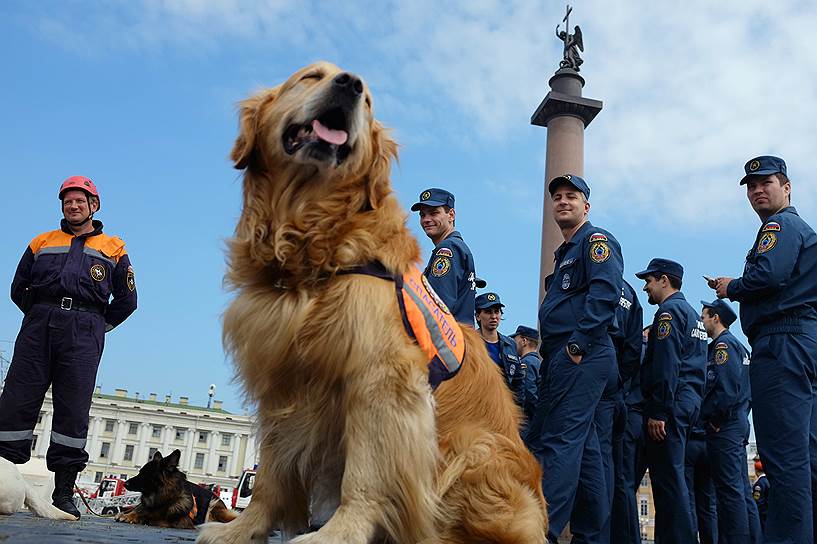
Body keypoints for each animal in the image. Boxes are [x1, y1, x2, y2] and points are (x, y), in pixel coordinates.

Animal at [194, 61, 544, 540]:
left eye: (370, 100)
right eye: (309, 76)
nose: (350, 85)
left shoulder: (383, 378)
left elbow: (368, 471)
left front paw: (338, 532)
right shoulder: (282, 374)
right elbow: (270, 472)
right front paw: (243, 529)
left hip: (474, 449)